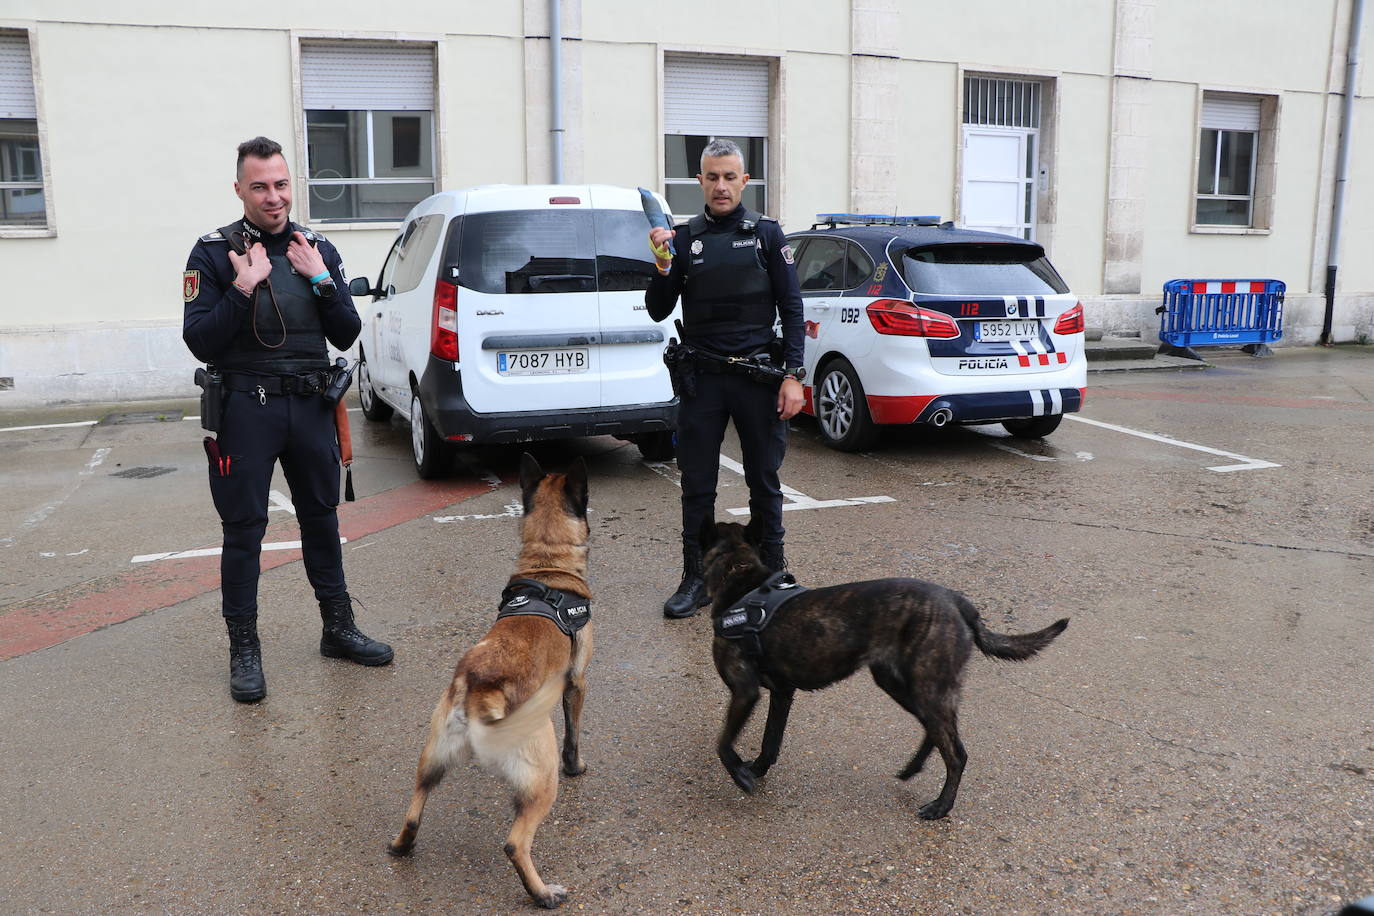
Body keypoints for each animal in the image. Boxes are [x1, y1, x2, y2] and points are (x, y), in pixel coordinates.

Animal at [392, 453, 596, 911]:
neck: (548, 567)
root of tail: (479, 689)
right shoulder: (576, 683)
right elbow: (574, 736)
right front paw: (577, 766)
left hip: (432, 760)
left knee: (414, 810)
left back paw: (402, 846)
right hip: (542, 780)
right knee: (515, 843)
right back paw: (542, 893)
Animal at [703, 519, 1066, 818]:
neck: (741, 576)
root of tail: (958, 601)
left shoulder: (745, 692)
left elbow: (722, 743)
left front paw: (741, 775)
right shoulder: (781, 692)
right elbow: (770, 741)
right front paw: (757, 769)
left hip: (927, 688)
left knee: (957, 754)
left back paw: (941, 806)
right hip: (903, 685)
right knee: (934, 732)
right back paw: (912, 769)